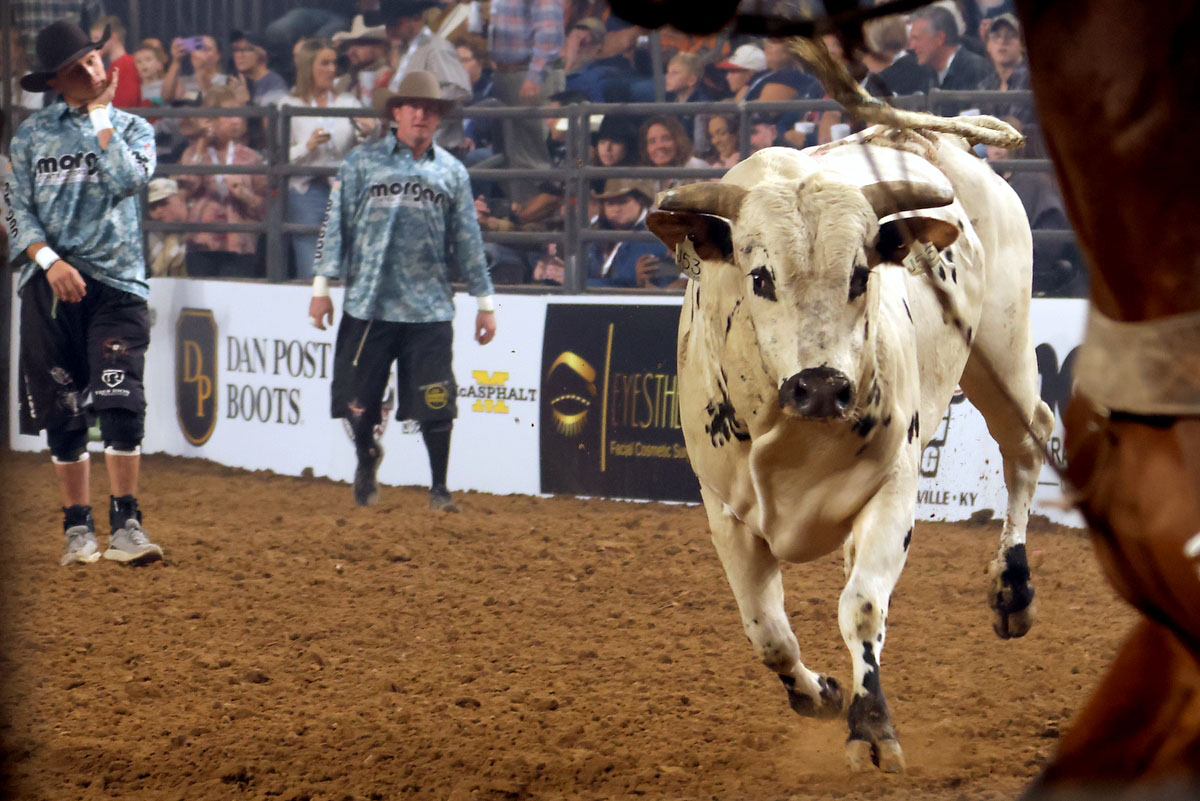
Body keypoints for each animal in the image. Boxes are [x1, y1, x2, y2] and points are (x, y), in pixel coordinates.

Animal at [645, 130, 1055, 772]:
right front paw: (819, 693)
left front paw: (871, 726)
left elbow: (860, 607)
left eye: (861, 275)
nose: (820, 387)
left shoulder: (893, 490)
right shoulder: (725, 511)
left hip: (1003, 355)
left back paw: (1012, 590)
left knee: (1028, 443)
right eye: (760, 277)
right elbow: (767, 631)